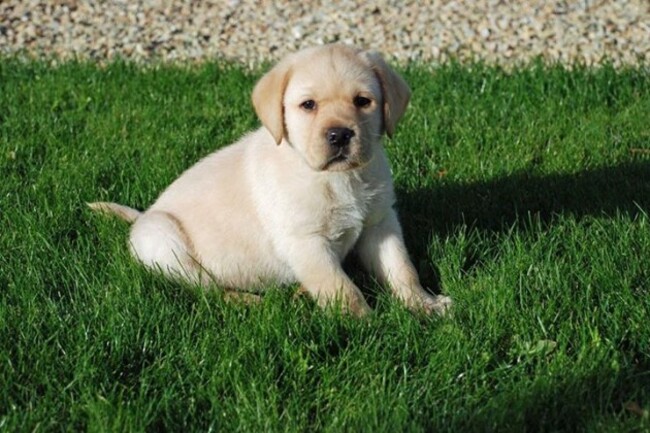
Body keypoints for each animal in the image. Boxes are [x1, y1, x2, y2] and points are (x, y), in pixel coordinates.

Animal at [88, 44, 448, 316]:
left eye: (362, 101)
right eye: (308, 105)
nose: (340, 134)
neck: (336, 178)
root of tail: (142, 216)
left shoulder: (380, 223)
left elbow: (402, 268)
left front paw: (425, 305)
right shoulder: (304, 241)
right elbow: (340, 287)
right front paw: (367, 325)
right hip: (162, 241)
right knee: (208, 289)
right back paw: (248, 301)